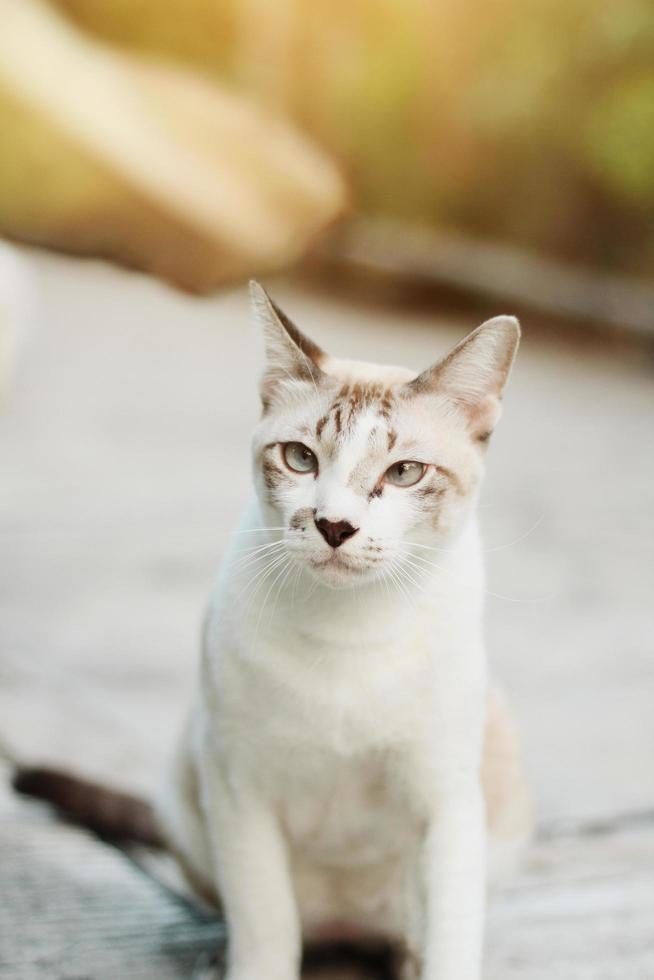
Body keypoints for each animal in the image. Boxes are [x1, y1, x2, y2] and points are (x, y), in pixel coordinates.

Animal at [156, 284, 536, 980]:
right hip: (183, 794)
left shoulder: (445, 796)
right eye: (300, 459)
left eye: (406, 473)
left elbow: (451, 940)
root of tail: (344, 930)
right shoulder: (240, 787)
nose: (334, 525)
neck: (350, 632)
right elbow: (266, 930)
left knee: (409, 932)